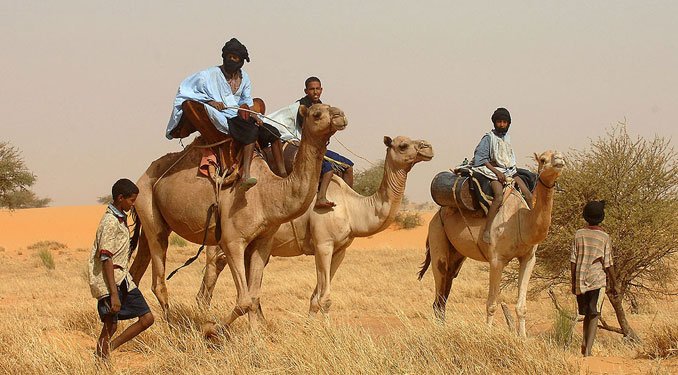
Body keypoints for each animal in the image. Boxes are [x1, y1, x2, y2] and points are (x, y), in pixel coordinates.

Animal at [129, 103, 348, 328]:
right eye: (317, 114)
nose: (340, 116)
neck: (267, 193)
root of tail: (142, 177)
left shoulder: (263, 241)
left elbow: (253, 296)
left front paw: (255, 334)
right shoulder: (232, 241)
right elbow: (244, 301)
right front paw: (212, 329)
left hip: (150, 220)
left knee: (136, 271)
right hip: (148, 205)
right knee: (158, 278)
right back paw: (171, 325)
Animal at [195, 136, 436, 318]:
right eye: (403, 145)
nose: (428, 147)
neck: (351, 209)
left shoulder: (340, 250)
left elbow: (315, 298)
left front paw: (312, 326)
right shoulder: (323, 244)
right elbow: (325, 298)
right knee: (213, 269)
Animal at [418, 150, 564, 338]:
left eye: (560, 155)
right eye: (543, 159)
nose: (559, 160)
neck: (521, 221)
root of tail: (437, 215)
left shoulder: (529, 258)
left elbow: (522, 307)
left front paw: (523, 337)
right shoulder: (496, 260)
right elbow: (492, 304)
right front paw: (488, 334)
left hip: (456, 254)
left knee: (446, 286)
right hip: (437, 234)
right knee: (440, 283)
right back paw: (439, 330)